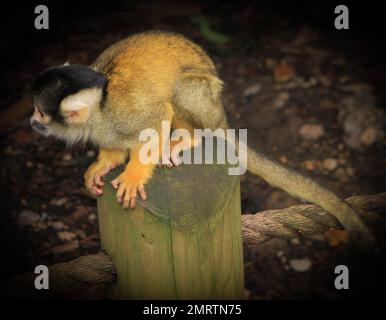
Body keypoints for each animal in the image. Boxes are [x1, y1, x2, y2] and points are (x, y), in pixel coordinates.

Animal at [30, 30, 374, 245]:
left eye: (40, 112)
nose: (32, 121)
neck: (99, 107)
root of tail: (221, 116)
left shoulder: (123, 112)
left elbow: (157, 118)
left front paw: (133, 174)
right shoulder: (105, 125)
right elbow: (113, 146)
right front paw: (101, 166)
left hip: (207, 100)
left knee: (183, 90)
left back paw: (188, 138)